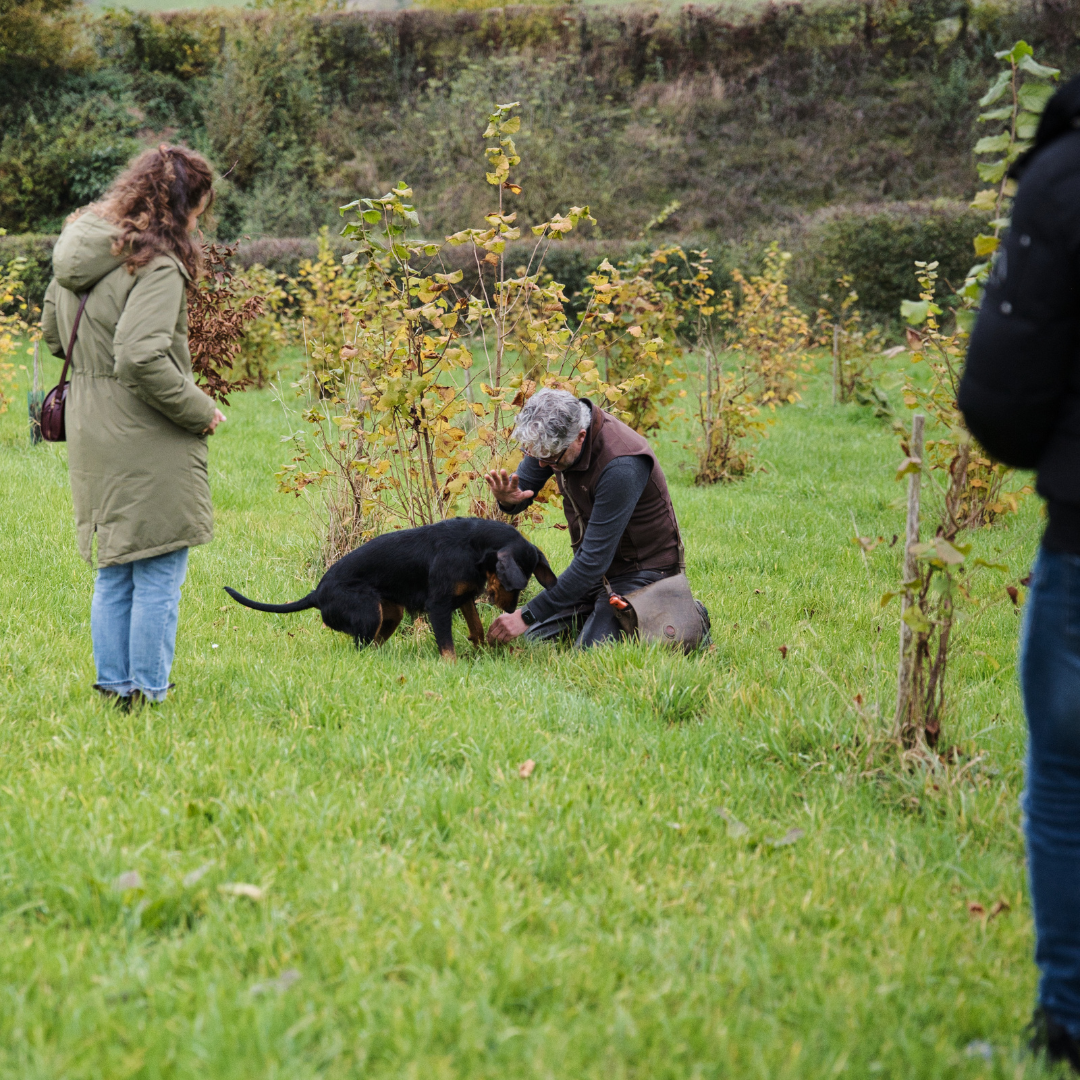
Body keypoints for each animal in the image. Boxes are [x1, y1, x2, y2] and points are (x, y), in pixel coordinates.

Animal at [221, 516, 557, 656]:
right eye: (515, 582)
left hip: (391, 614)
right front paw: (452, 667)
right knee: (360, 647)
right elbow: (447, 646)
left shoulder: (463, 599)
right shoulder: (438, 606)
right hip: (370, 613)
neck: (473, 546)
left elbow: (475, 627)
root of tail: (317, 594)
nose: (512, 610)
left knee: (372, 645)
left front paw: (485, 652)